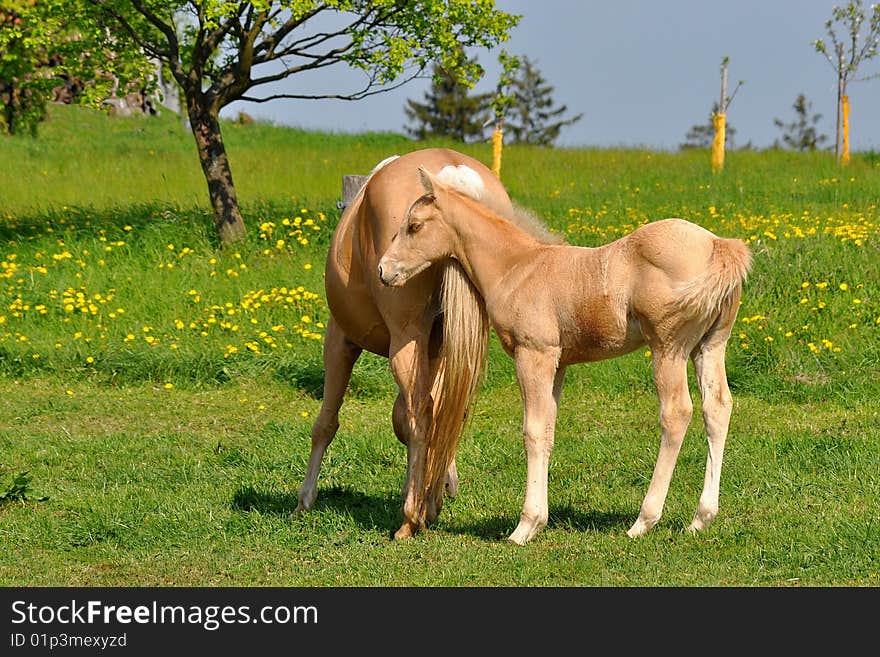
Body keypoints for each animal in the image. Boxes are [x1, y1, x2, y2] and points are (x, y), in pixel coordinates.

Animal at [296, 149, 552, 540]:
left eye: (413, 227)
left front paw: (305, 500)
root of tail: (452, 170)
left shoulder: (340, 339)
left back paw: (409, 520)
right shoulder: (437, 348)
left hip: (403, 341)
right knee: (446, 412)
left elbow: (327, 422)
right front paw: (434, 491)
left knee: (421, 415)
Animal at [374, 168, 752, 544]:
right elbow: (549, 431)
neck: (517, 267)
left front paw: (525, 526)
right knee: (717, 408)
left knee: (677, 413)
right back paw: (701, 518)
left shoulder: (533, 355)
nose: (383, 271)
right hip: (710, 346)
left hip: (667, 346)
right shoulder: (558, 363)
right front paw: (539, 520)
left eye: (414, 226)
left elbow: (532, 432)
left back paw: (644, 521)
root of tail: (718, 246)